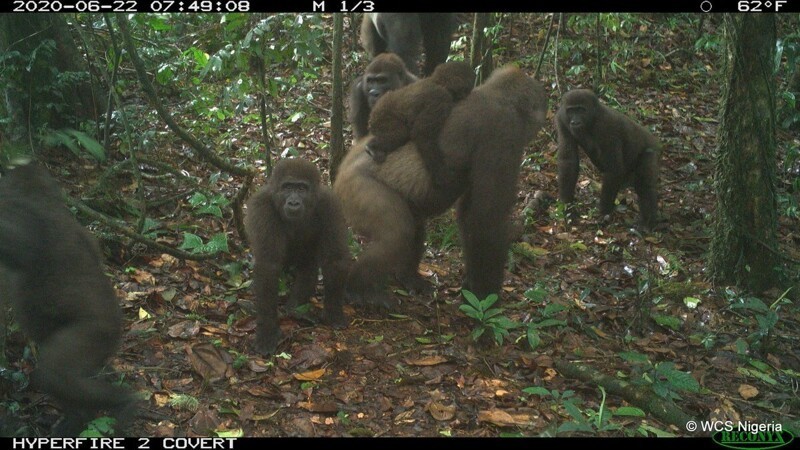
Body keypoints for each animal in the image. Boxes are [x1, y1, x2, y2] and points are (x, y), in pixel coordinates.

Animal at [556, 89, 664, 229]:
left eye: (580, 110)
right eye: (571, 111)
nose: (575, 121)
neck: (593, 116)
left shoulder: (607, 125)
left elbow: (614, 169)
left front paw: (603, 213)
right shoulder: (561, 119)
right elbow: (568, 161)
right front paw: (568, 207)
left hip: (651, 149)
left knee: (644, 185)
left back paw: (647, 223)